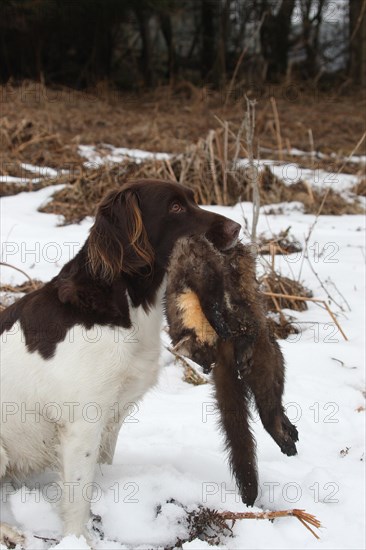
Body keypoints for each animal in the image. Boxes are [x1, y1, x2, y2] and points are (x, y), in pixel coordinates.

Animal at [0, 179, 240, 544]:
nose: (236, 228)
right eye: (175, 207)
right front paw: (77, 542)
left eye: (192, 200)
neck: (125, 305)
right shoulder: (82, 423)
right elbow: (77, 497)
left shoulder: (112, 418)